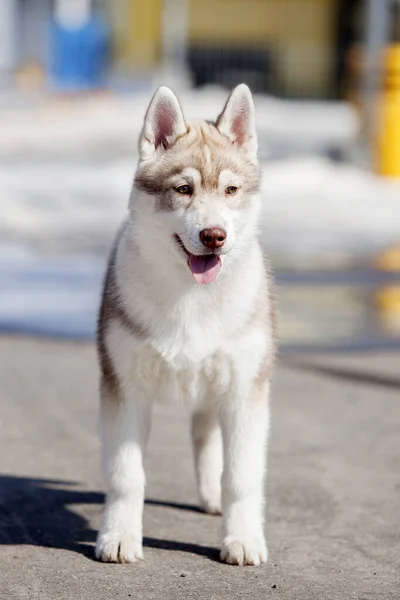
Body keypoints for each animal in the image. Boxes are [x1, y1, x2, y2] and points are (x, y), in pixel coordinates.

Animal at [95, 84, 276, 568]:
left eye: (231, 189)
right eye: (183, 189)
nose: (215, 236)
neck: (191, 297)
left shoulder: (244, 389)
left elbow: (242, 476)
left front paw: (242, 538)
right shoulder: (126, 386)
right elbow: (126, 474)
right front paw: (119, 536)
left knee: (205, 435)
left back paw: (213, 498)